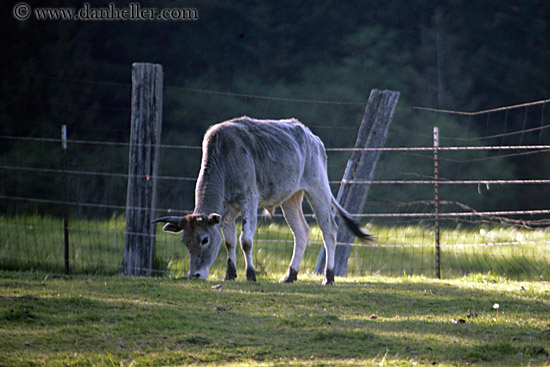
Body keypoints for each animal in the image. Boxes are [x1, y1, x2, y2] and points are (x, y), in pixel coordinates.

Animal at [153, 116, 374, 286]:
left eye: (204, 240)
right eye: (185, 242)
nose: (195, 274)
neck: (225, 158)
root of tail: (313, 139)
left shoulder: (249, 200)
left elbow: (246, 241)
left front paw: (250, 275)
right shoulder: (226, 210)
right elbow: (230, 241)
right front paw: (230, 274)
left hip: (318, 189)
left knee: (329, 230)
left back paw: (328, 277)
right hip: (291, 198)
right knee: (302, 232)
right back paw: (290, 275)